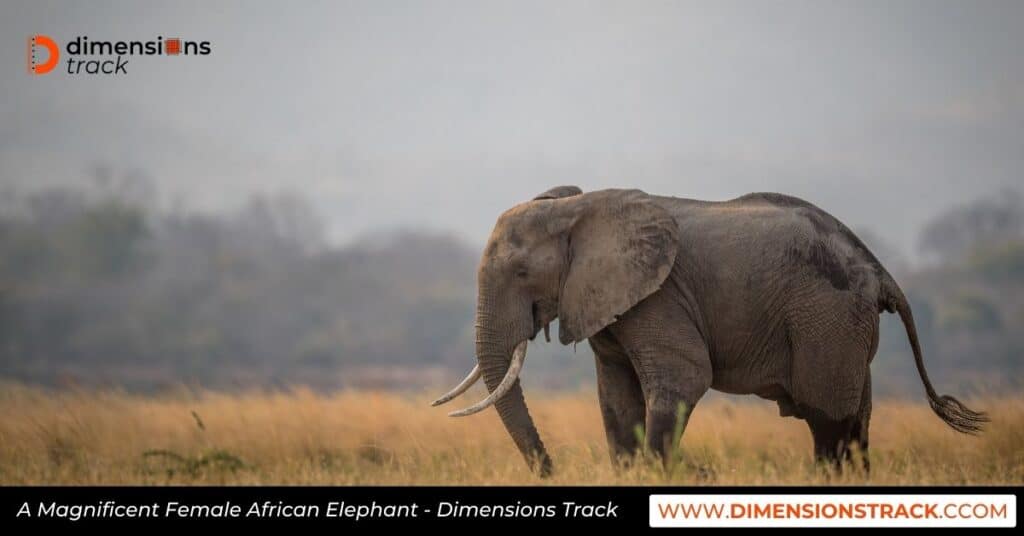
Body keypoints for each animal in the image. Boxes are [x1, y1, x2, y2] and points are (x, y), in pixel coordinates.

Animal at [430, 186, 983, 475]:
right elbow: (616, 397)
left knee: (829, 422)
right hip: (847, 329)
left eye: (522, 273)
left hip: (828, 319)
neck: (579, 207)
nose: (552, 472)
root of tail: (881, 271)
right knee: (858, 425)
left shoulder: (658, 297)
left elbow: (682, 379)